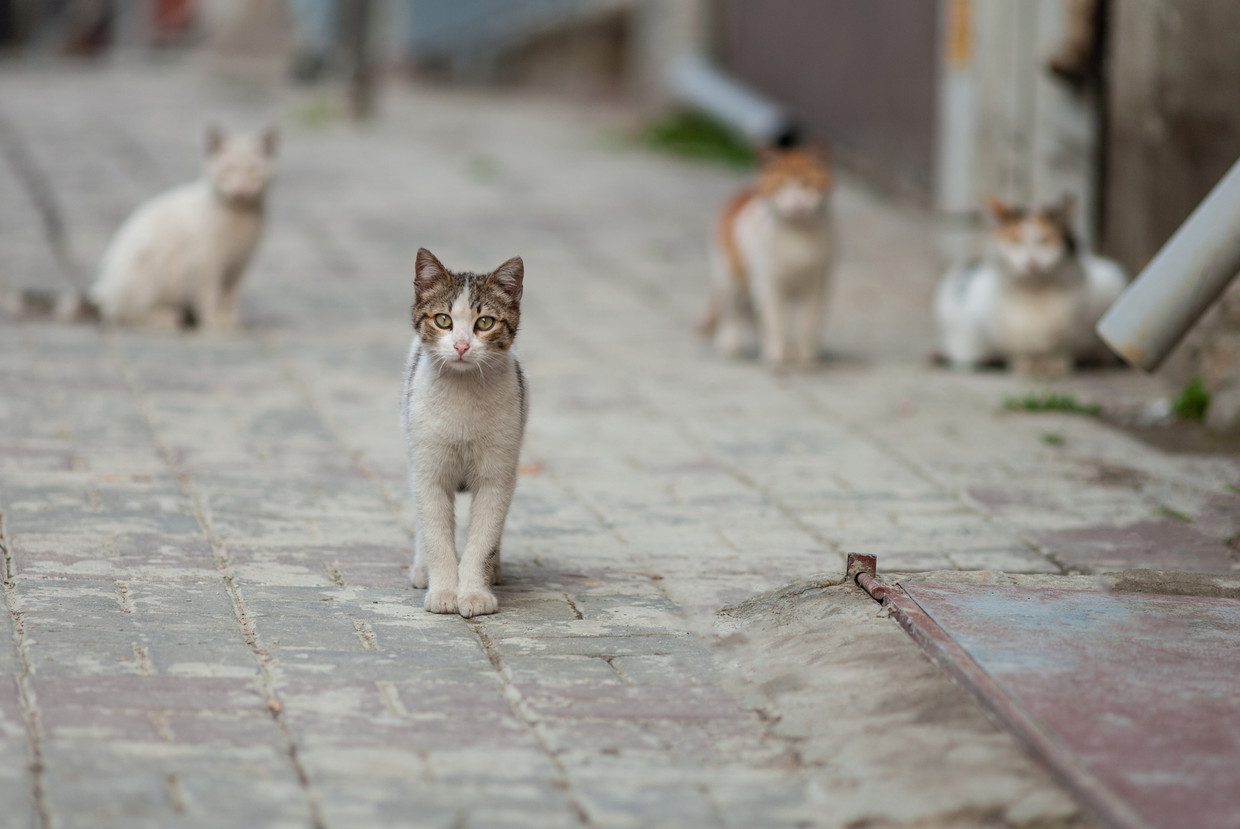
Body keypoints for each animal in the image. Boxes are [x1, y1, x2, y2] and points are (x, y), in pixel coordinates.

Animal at [88, 123, 279, 329]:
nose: (240, 191)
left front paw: (230, 320)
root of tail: (104, 289)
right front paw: (213, 322)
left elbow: (230, 296)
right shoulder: (205, 261)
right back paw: (165, 316)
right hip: (143, 274)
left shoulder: (240, 263)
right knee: (121, 313)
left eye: (253, 169)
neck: (241, 216)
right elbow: (208, 294)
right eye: (227, 169)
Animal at [401, 245, 528, 614]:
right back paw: (421, 568)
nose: (460, 346)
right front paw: (444, 590)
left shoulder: (497, 472)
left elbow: (484, 536)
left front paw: (474, 592)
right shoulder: (429, 468)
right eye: (443, 319)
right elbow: (435, 533)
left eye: (484, 322)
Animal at [699, 146, 833, 366]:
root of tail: (740, 192)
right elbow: (774, 321)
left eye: (808, 185)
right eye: (781, 186)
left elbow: (806, 324)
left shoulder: (816, 285)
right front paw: (775, 356)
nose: (797, 203)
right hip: (729, 276)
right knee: (733, 311)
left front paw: (804, 357)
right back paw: (731, 342)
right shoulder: (769, 284)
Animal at [932, 195, 1130, 374]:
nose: (1031, 263)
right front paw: (1023, 363)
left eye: (1044, 242)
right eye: (1016, 242)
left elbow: (1065, 349)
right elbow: (1016, 350)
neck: (1035, 293)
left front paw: (1056, 364)